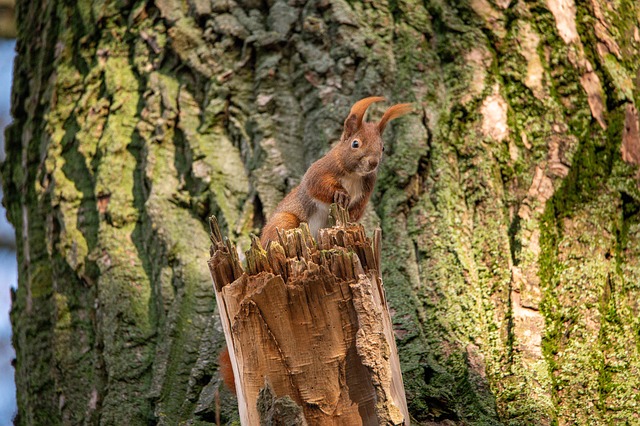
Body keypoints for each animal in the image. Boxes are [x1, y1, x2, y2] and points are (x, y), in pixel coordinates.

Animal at [260, 96, 412, 247]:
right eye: (355, 144)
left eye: (383, 148)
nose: (373, 162)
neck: (353, 174)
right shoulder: (320, 169)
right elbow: (316, 185)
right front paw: (340, 193)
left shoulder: (367, 188)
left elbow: (359, 207)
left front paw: (351, 217)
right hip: (284, 221)